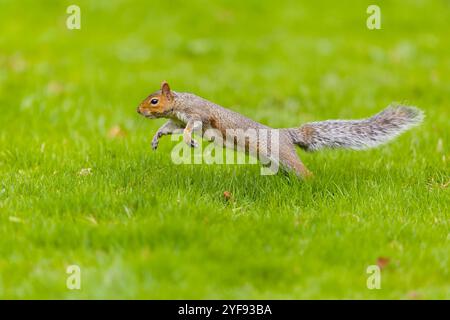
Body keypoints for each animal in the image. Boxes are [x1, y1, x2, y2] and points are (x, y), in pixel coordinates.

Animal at [135, 81, 424, 178]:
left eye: (154, 101)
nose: (138, 110)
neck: (180, 103)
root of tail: (285, 135)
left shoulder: (198, 115)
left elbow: (190, 127)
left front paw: (189, 140)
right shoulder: (177, 119)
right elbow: (169, 127)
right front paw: (156, 137)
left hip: (284, 155)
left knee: (304, 172)